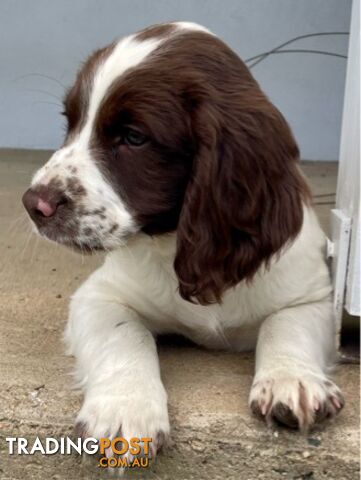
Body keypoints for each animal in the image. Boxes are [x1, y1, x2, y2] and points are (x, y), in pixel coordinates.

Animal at [22, 21, 344, 458]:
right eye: (70, 123)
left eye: (133, 137)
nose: (33, 204)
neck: (177, 241)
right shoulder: (99, 297)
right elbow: (125, 334)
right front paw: (125, 408)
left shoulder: (311, 296)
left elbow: (285, 324)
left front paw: (291, 380)